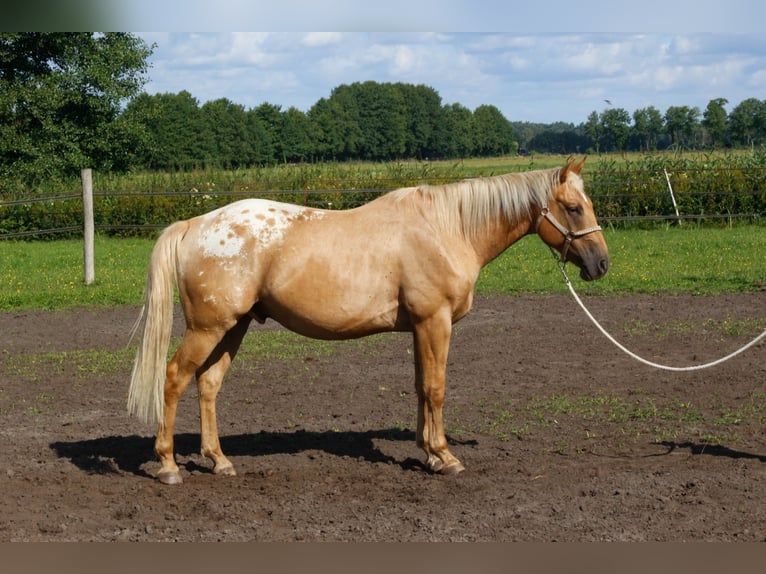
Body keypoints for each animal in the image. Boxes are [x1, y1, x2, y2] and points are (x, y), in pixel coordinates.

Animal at [128, 159, 609, 484]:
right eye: (572, 207)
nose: (601, 263)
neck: (446, 229)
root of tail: (195, 223)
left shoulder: (420, 327)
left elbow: (421, 387)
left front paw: (428, 453)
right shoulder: (435, 322)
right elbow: (437, 388)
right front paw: (446, 457)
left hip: (234, 326)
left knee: (208, 385)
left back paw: (219, 460)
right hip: (208, 328)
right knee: (174, 378)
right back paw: (168, 465)